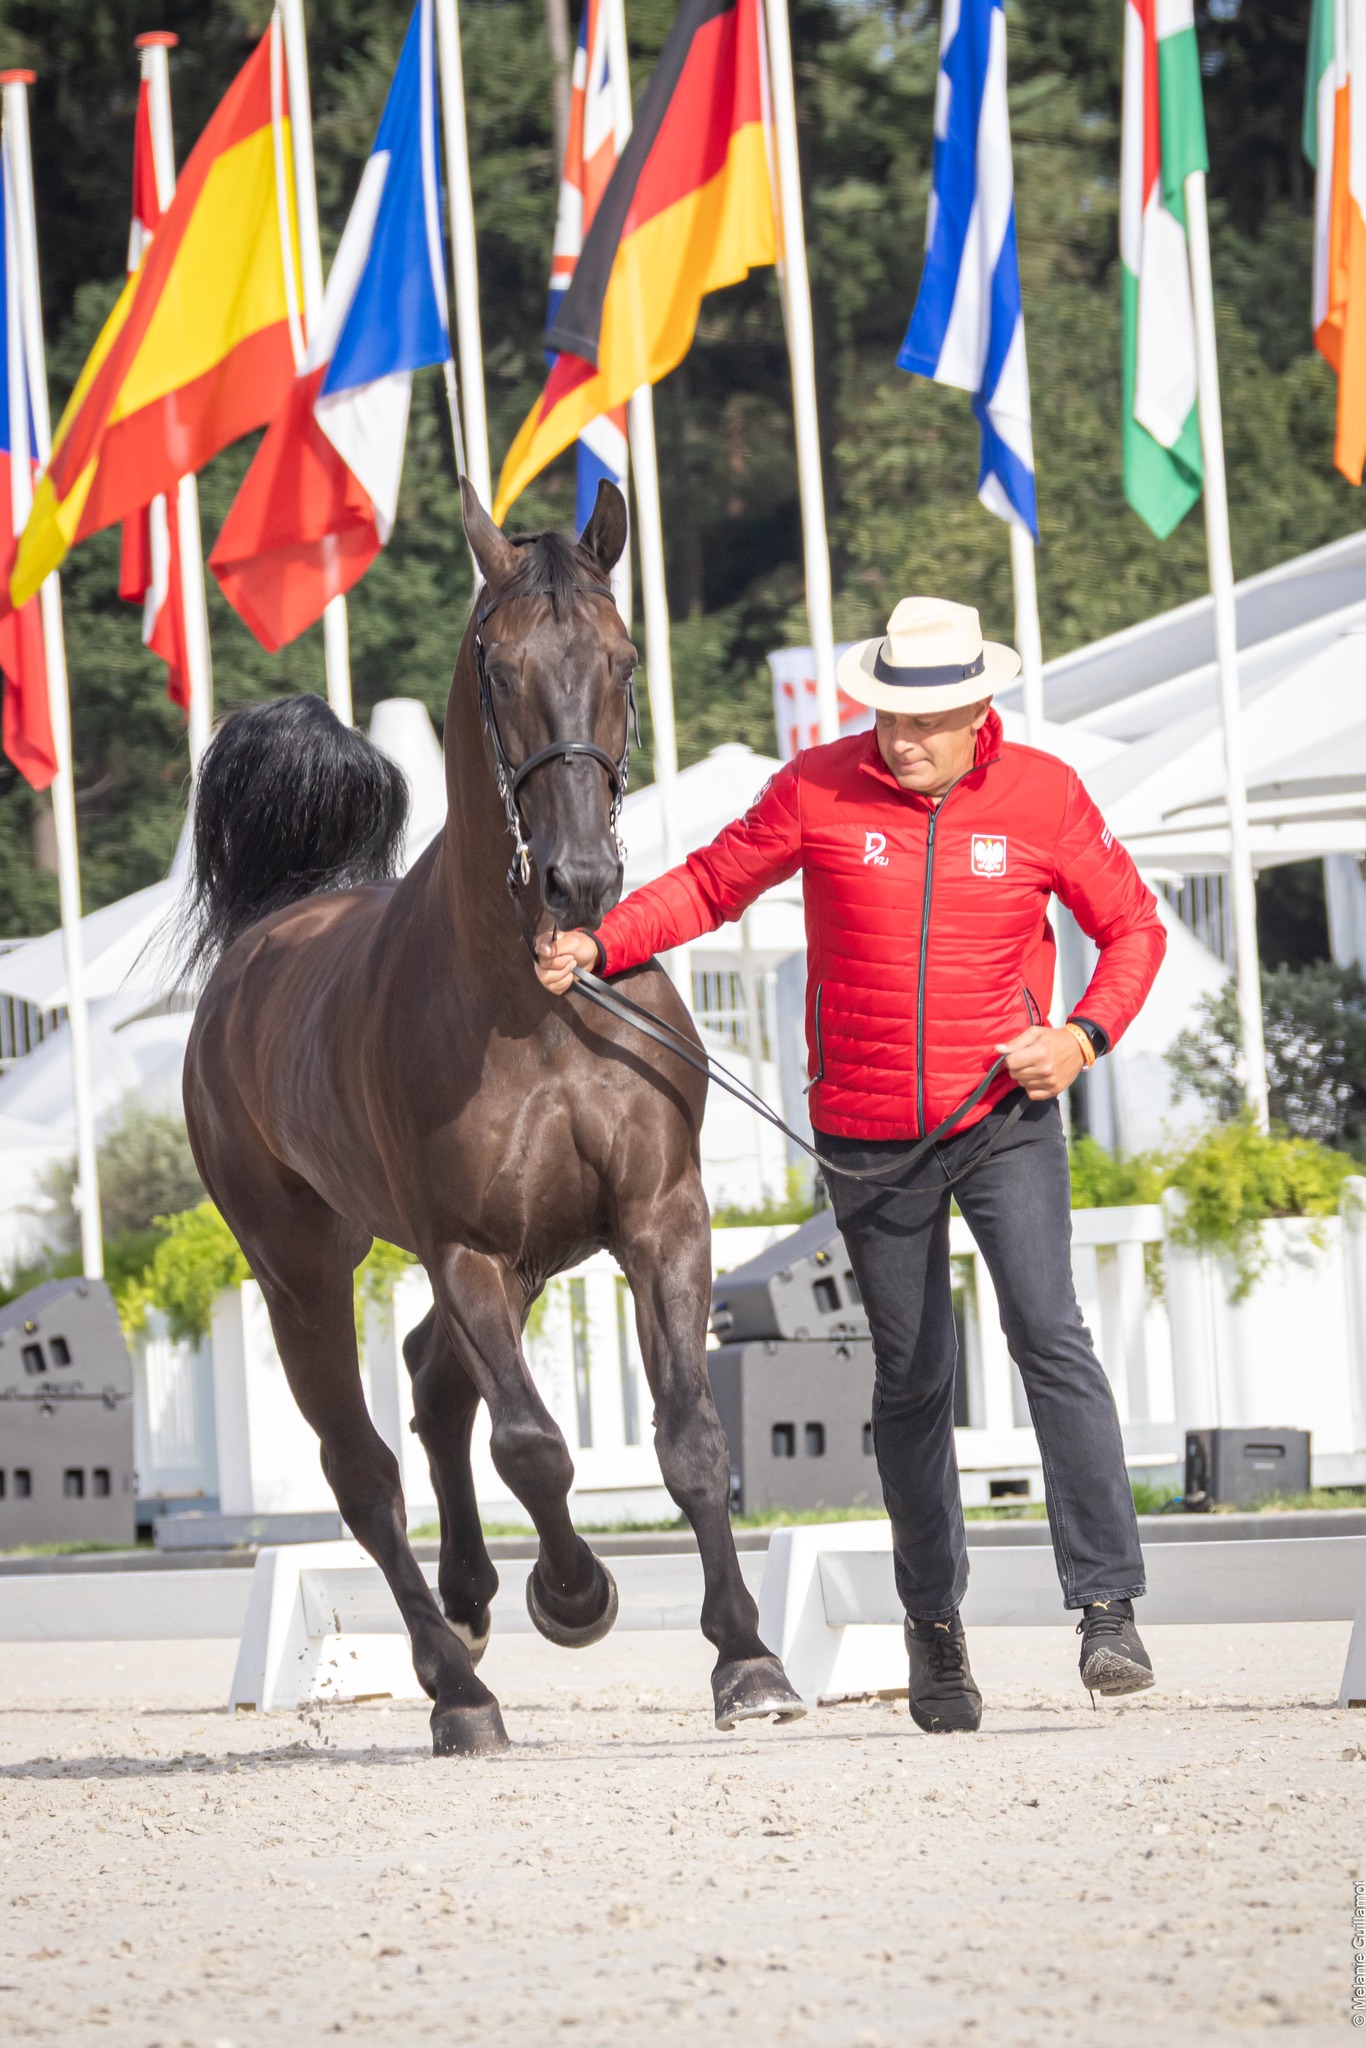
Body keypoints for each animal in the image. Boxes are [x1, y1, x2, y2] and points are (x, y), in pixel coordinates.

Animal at [180, 479, 805, 1756]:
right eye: (500, 666)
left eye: (622, 658)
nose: (579, 877)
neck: (540, 1000)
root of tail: (265, 930)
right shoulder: (463, 1247)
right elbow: (534, 1445)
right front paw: (574, 1593)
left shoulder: (659, 1219)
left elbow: (689, 1436)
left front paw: (747, 1657)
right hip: (303, 1274)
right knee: (364, 1466)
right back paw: (456, 1683)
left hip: (526, 1261)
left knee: (429, 1379)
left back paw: (469, 1605)